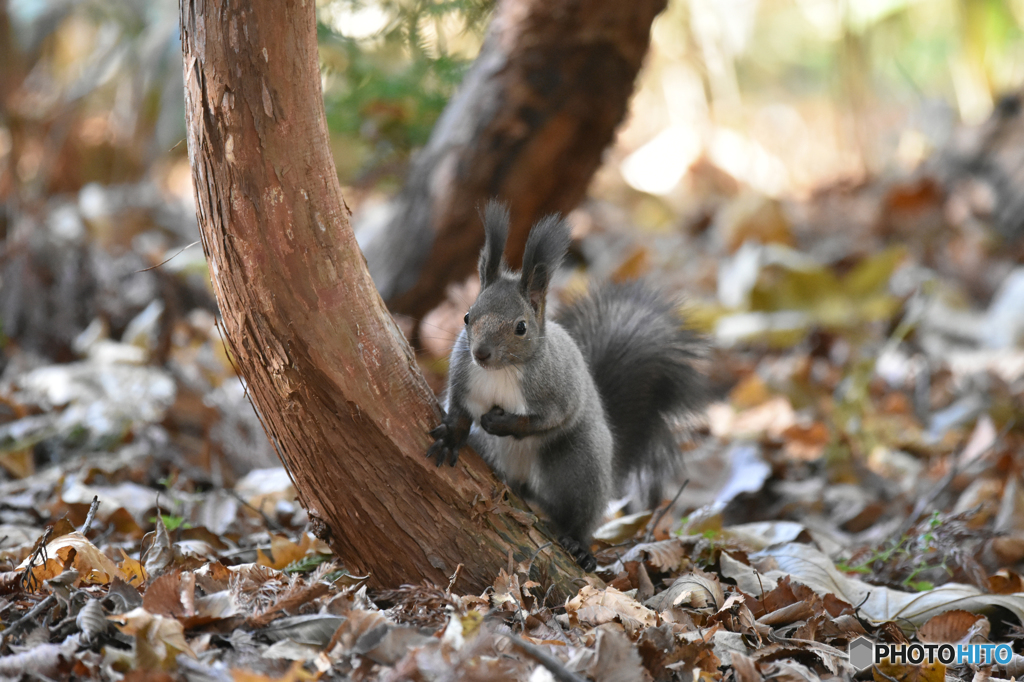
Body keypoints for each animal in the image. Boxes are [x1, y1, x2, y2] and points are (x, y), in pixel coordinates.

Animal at [423, 200, 704, 569]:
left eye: (521, 327)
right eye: (467, 317)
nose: (481, 353)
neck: (503, 371)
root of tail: (525, 485)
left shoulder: (560, 392)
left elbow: (546, 420)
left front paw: (501, 422)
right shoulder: (462, 378)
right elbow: (457, 410)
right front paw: (451, 437)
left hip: (580, 462)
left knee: (580, 514)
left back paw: (579, 545)